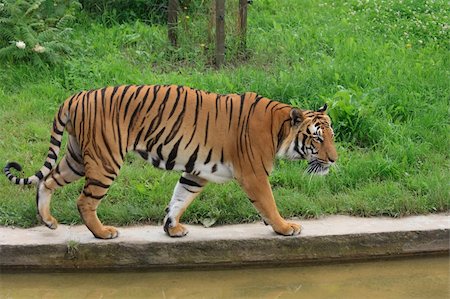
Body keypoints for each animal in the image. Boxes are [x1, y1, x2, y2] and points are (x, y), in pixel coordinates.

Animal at [1, 85, 336, 240]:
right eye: (317, 139)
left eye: (332, 135)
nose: (334, 159)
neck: (279, 130)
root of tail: (74, 97)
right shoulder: (253, 174)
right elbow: (268, 202)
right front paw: (285, 227)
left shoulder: (197, 172)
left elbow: (180, 198)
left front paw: (171, 228)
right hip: (105, 159)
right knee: (84, 200)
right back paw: (103, 233)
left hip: (76, 158)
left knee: (47, 180)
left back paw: (48, 221)